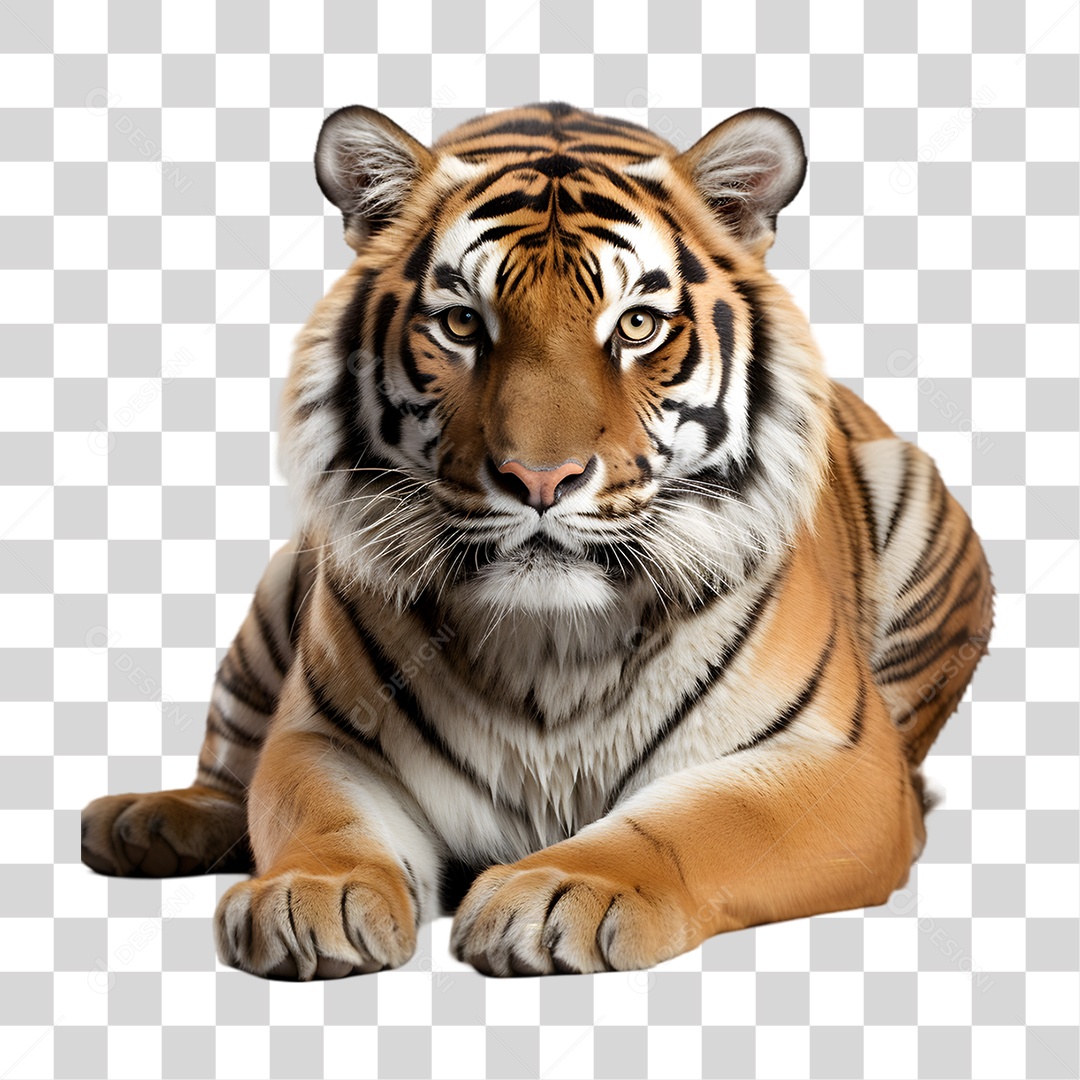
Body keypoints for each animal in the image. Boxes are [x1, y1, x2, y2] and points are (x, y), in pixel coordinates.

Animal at [81, 102, 994, 979]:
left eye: (636, 325)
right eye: (460, 324)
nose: (541, 479)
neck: (553, 644)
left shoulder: (837, 763)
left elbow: (696, 823)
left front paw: (560, 889)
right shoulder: (322, 736)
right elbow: (318, 813)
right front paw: (313, 893)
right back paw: (144, 822)